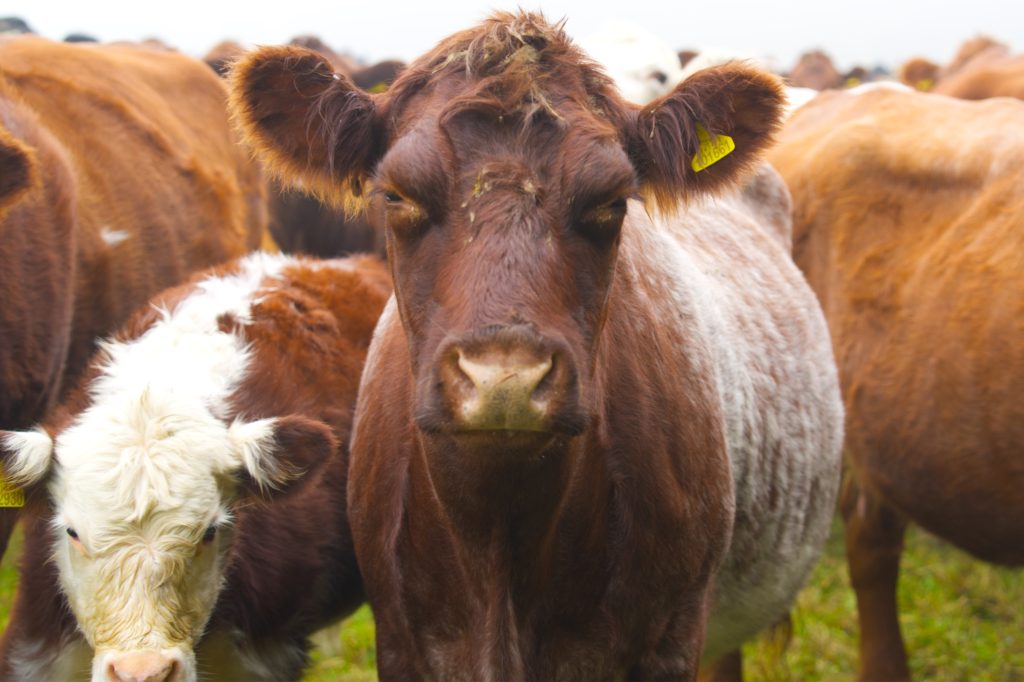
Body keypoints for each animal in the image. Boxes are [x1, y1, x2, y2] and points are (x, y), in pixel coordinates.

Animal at [231, 11, 844, 679]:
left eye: (612, 201)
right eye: (396, 195)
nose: (505, 378)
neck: (502, 551)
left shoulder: (671, 640)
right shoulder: (401, 641)